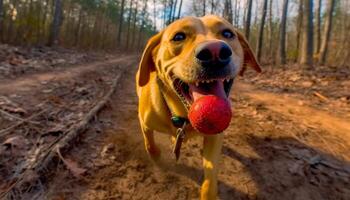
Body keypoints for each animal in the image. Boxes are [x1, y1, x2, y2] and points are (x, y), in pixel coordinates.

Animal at [135, 14, 262, 199]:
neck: (184, 116)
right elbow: (150, 144)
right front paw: (157, 158)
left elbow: (210, 180)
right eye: (179, 37)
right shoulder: (144, 123)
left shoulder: (214, 138)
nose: (215, 52)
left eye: (227, 33)